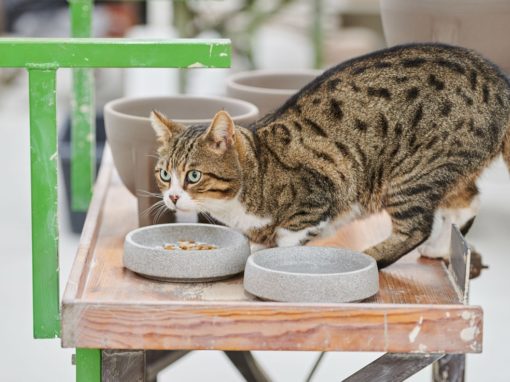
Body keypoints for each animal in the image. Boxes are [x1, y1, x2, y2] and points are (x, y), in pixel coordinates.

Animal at [149, 43, 510, 268]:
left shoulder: (315, 198)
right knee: (467, 201)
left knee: (416, 227)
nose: (172, 197)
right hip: (445, 168)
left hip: (411, 173)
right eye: (165, 174)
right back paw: (438, 248)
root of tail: (498, 80)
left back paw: (372, 258)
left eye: (193, 175)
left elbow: (289, 239)